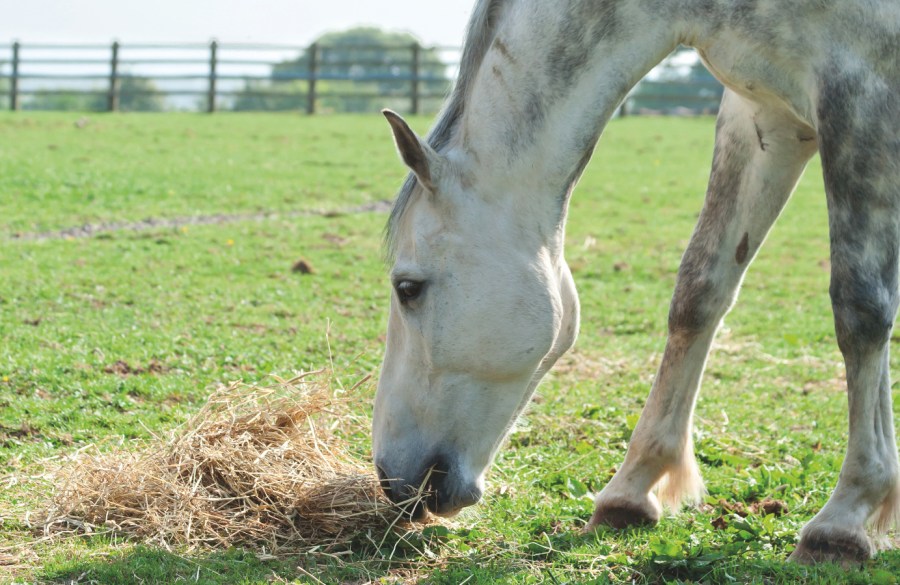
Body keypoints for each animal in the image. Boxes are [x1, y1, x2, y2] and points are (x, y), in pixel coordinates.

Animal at [370, 0, 896, 564]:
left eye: (408, 288)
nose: (391, 479)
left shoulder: (865, 93)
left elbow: (861, 309)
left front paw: (846, 517)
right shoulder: (764, 116)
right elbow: (698, 291)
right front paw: (632, 488)